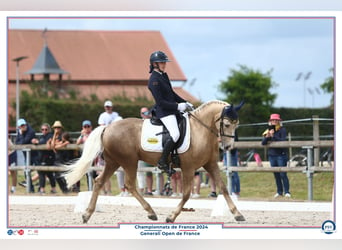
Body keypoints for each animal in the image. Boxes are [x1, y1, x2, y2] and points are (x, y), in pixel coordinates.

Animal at [65, 99, 246, 223]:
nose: (228, 147)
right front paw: (171, 216)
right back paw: (151, 212)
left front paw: (238, 214)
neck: (201, 130)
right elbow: (187, 193)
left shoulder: (210, 164)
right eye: (227, 124)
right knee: (129, 185)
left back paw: (87, 214)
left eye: (237, 124)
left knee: (99, 182)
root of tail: (107, 127)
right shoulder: (188, 167)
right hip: (129, 161)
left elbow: (223, 188)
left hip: (113, 162)